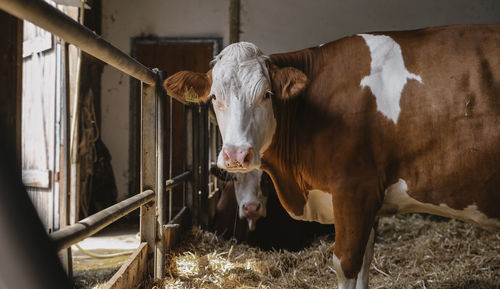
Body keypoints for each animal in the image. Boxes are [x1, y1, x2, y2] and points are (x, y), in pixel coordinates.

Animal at [165, 23, 500, 286]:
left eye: (266, 94)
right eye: (213, 97)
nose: (237, 155)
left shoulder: (355, 190)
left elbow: (346, 264)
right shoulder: (369, 202)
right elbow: (365, 263)